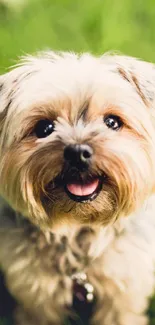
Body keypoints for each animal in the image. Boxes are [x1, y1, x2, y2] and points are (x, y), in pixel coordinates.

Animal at [0, 51, 155, 324]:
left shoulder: (123, 288)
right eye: (44, 128)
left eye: (112, 122)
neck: (78, 228)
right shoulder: (36, 296)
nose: (77, 152)